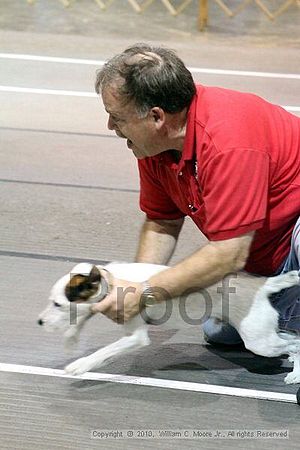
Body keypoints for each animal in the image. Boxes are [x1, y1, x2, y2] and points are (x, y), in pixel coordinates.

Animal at [38, 262, 300, 384]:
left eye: (57, 304)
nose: (39, 322)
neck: (111, 282)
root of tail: (262, 285)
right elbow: (84, 317)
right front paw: (71, 338)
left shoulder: (136, 337)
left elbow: (104, 350)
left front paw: (80, 364)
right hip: (264, 334)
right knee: (292, 337)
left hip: (259, 341)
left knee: (294, 345)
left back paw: (295, 374)